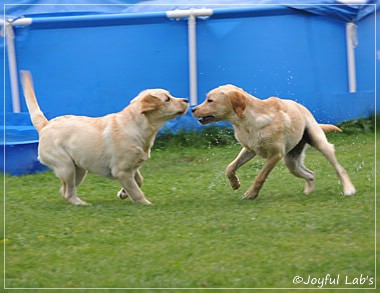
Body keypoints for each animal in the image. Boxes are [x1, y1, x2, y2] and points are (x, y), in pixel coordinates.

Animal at [20, 69, 189, 204]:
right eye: (167, 99)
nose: (187, 100)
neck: (138, 126)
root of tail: (46, 124)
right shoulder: (122, 171)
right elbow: (137, 191)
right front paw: (146, 204)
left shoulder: (132, 167)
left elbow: (139, 181)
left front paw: (123, 193)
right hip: (66, 166)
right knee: (68, 192)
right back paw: (82, 204)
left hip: (79, 169)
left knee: (64, 190)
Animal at [193, 83, 356, 200]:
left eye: (210, 100)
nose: (193, 109)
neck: (247, 122)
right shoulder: (249, 150)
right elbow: (230, 167)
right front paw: (235, 183)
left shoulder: (275, 155)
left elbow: (260, 176)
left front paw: (251, 194)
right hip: (291, 162)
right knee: (310, 174)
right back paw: (308, 191)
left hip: (319, 142)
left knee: (340, 169)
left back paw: (348, 189)